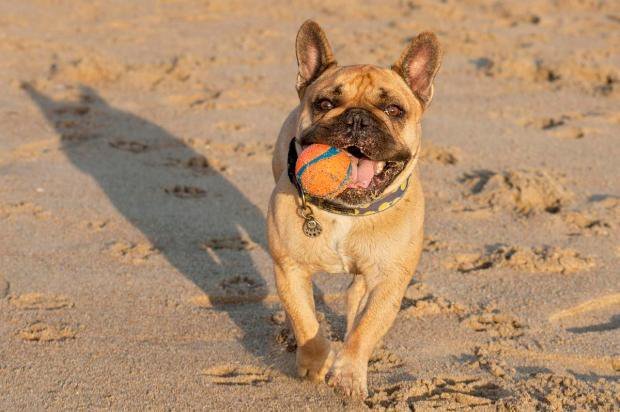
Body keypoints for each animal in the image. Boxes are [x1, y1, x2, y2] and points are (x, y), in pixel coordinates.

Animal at [266, 20, 440, 398]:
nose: (357, 119)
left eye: (393, 110)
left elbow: (365, 328)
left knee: (355, 302)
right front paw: (316, 363)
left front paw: (347, 373)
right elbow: (306, 321)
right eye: (324, 103)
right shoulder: (290, 268)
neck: (345, 212)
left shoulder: (388, 282)